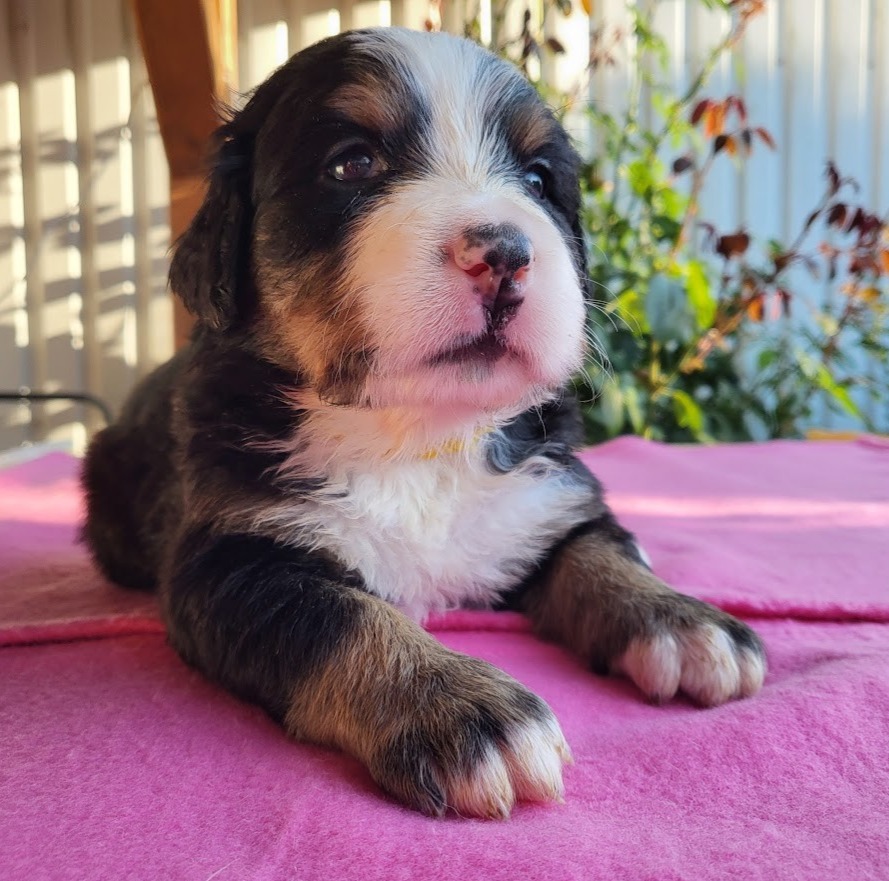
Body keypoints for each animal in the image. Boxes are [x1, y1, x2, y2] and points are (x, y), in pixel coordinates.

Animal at [81, 27, 766, 819]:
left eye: (539, 180)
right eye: (352, 162)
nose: (504, 253)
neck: (419, 438)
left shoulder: (550, 497)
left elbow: (602, 553)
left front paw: (685, 622)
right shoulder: (232, 561)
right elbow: (346, 617)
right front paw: (460, 706)